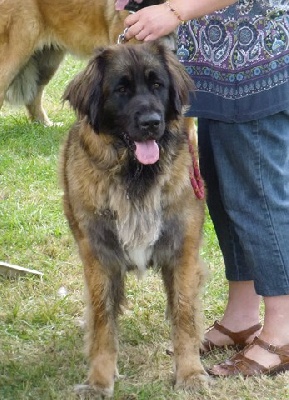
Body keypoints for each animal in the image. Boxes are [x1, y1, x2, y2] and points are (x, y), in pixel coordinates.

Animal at [59, 42, 206, 398]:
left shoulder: (183, 251)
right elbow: (102, 319)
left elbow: (184, 313)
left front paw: (190, 372)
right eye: (121, 89)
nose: (152, 122)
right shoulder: (98, 257)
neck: (135, 178)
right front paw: (99, 380)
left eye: (157, 86)